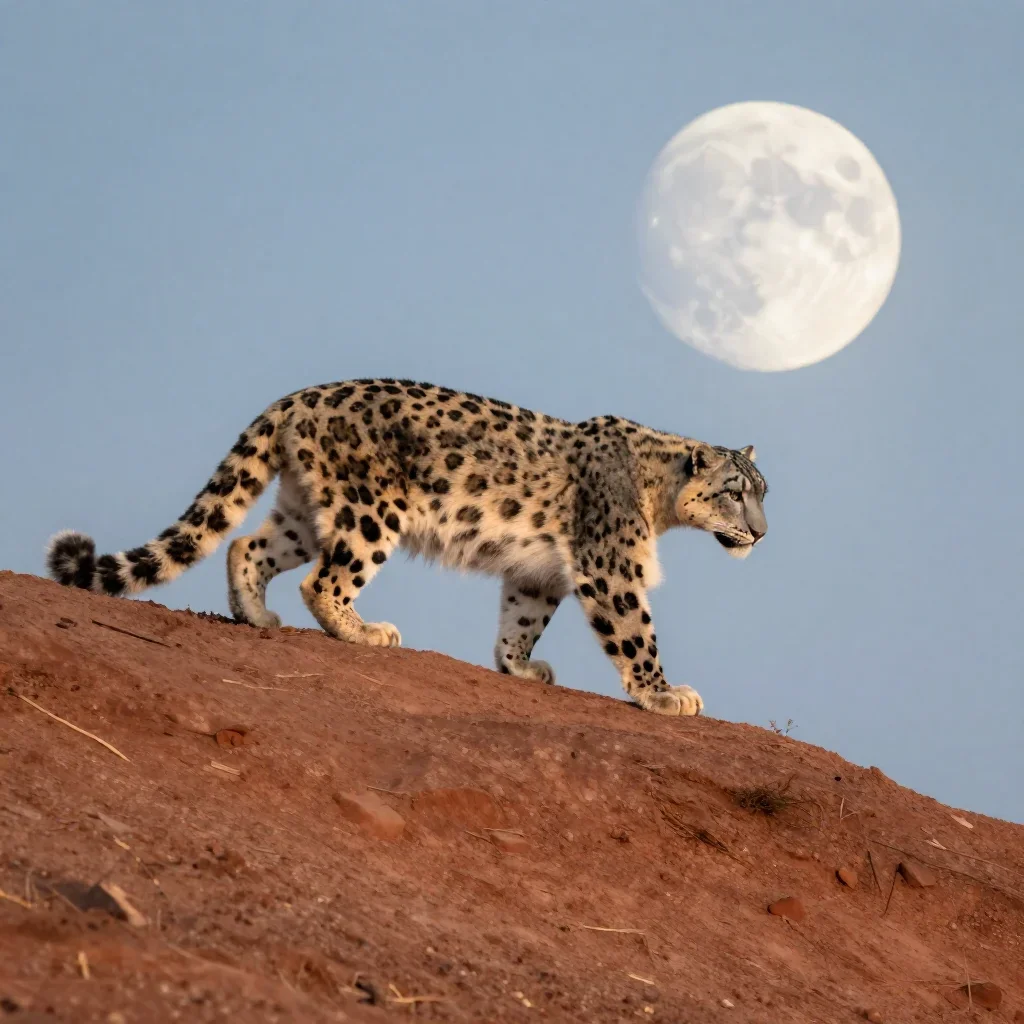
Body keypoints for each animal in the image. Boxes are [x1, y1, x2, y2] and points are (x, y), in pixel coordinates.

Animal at [46, 378, 768, 716]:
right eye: (736, 492)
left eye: (765, 491)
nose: (761, 533)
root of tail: (299, 396)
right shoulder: (610, 566)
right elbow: (636, 633)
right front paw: (665, 695)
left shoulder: (540, 573)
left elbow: (522, 617)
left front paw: (519, 667)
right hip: (370, 514)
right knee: (323, 580)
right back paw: (365, 632)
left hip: (305, 509)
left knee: (248, 547)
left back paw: (255, 615)